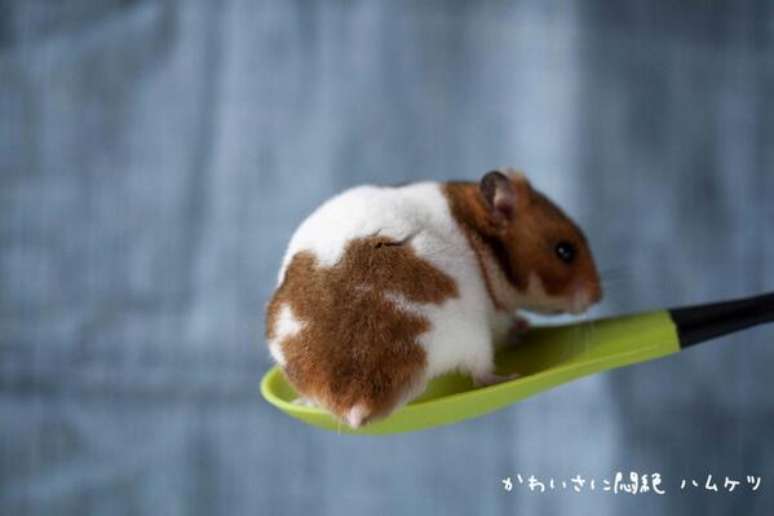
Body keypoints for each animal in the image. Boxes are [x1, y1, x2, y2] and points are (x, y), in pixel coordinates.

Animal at [265, 169, 603, 428]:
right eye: (565, 251)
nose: (599, 295)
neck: (479, 234)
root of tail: (356, 400)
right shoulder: (495, 316)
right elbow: (505, 326)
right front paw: (522, 327)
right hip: (471, 337)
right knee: (481, 373)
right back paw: (508, 376)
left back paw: (303, 400)